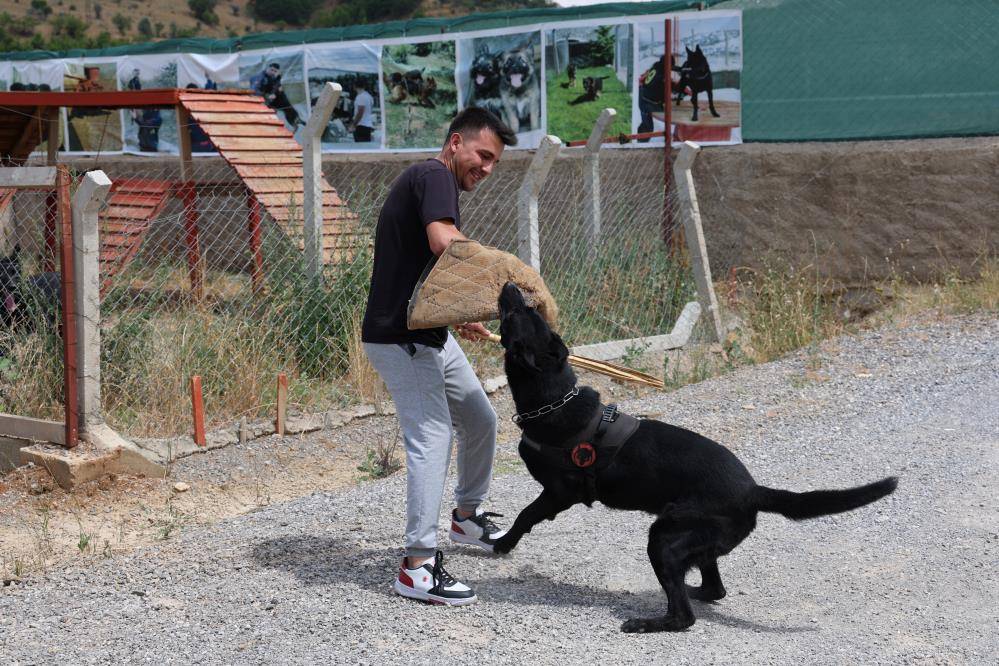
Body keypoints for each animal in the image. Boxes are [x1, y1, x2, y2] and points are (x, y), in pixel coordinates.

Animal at [496, 282, 904, 632]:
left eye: (518, 312)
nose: (511, 286)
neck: (553, 398)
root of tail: (753, 490)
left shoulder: (559, 493)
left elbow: (525, 515)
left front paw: (502, 543)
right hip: (694, 541)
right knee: (712, 588)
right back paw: (687, 591)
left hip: (664, 537)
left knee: (684, 616)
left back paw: (649, 621)